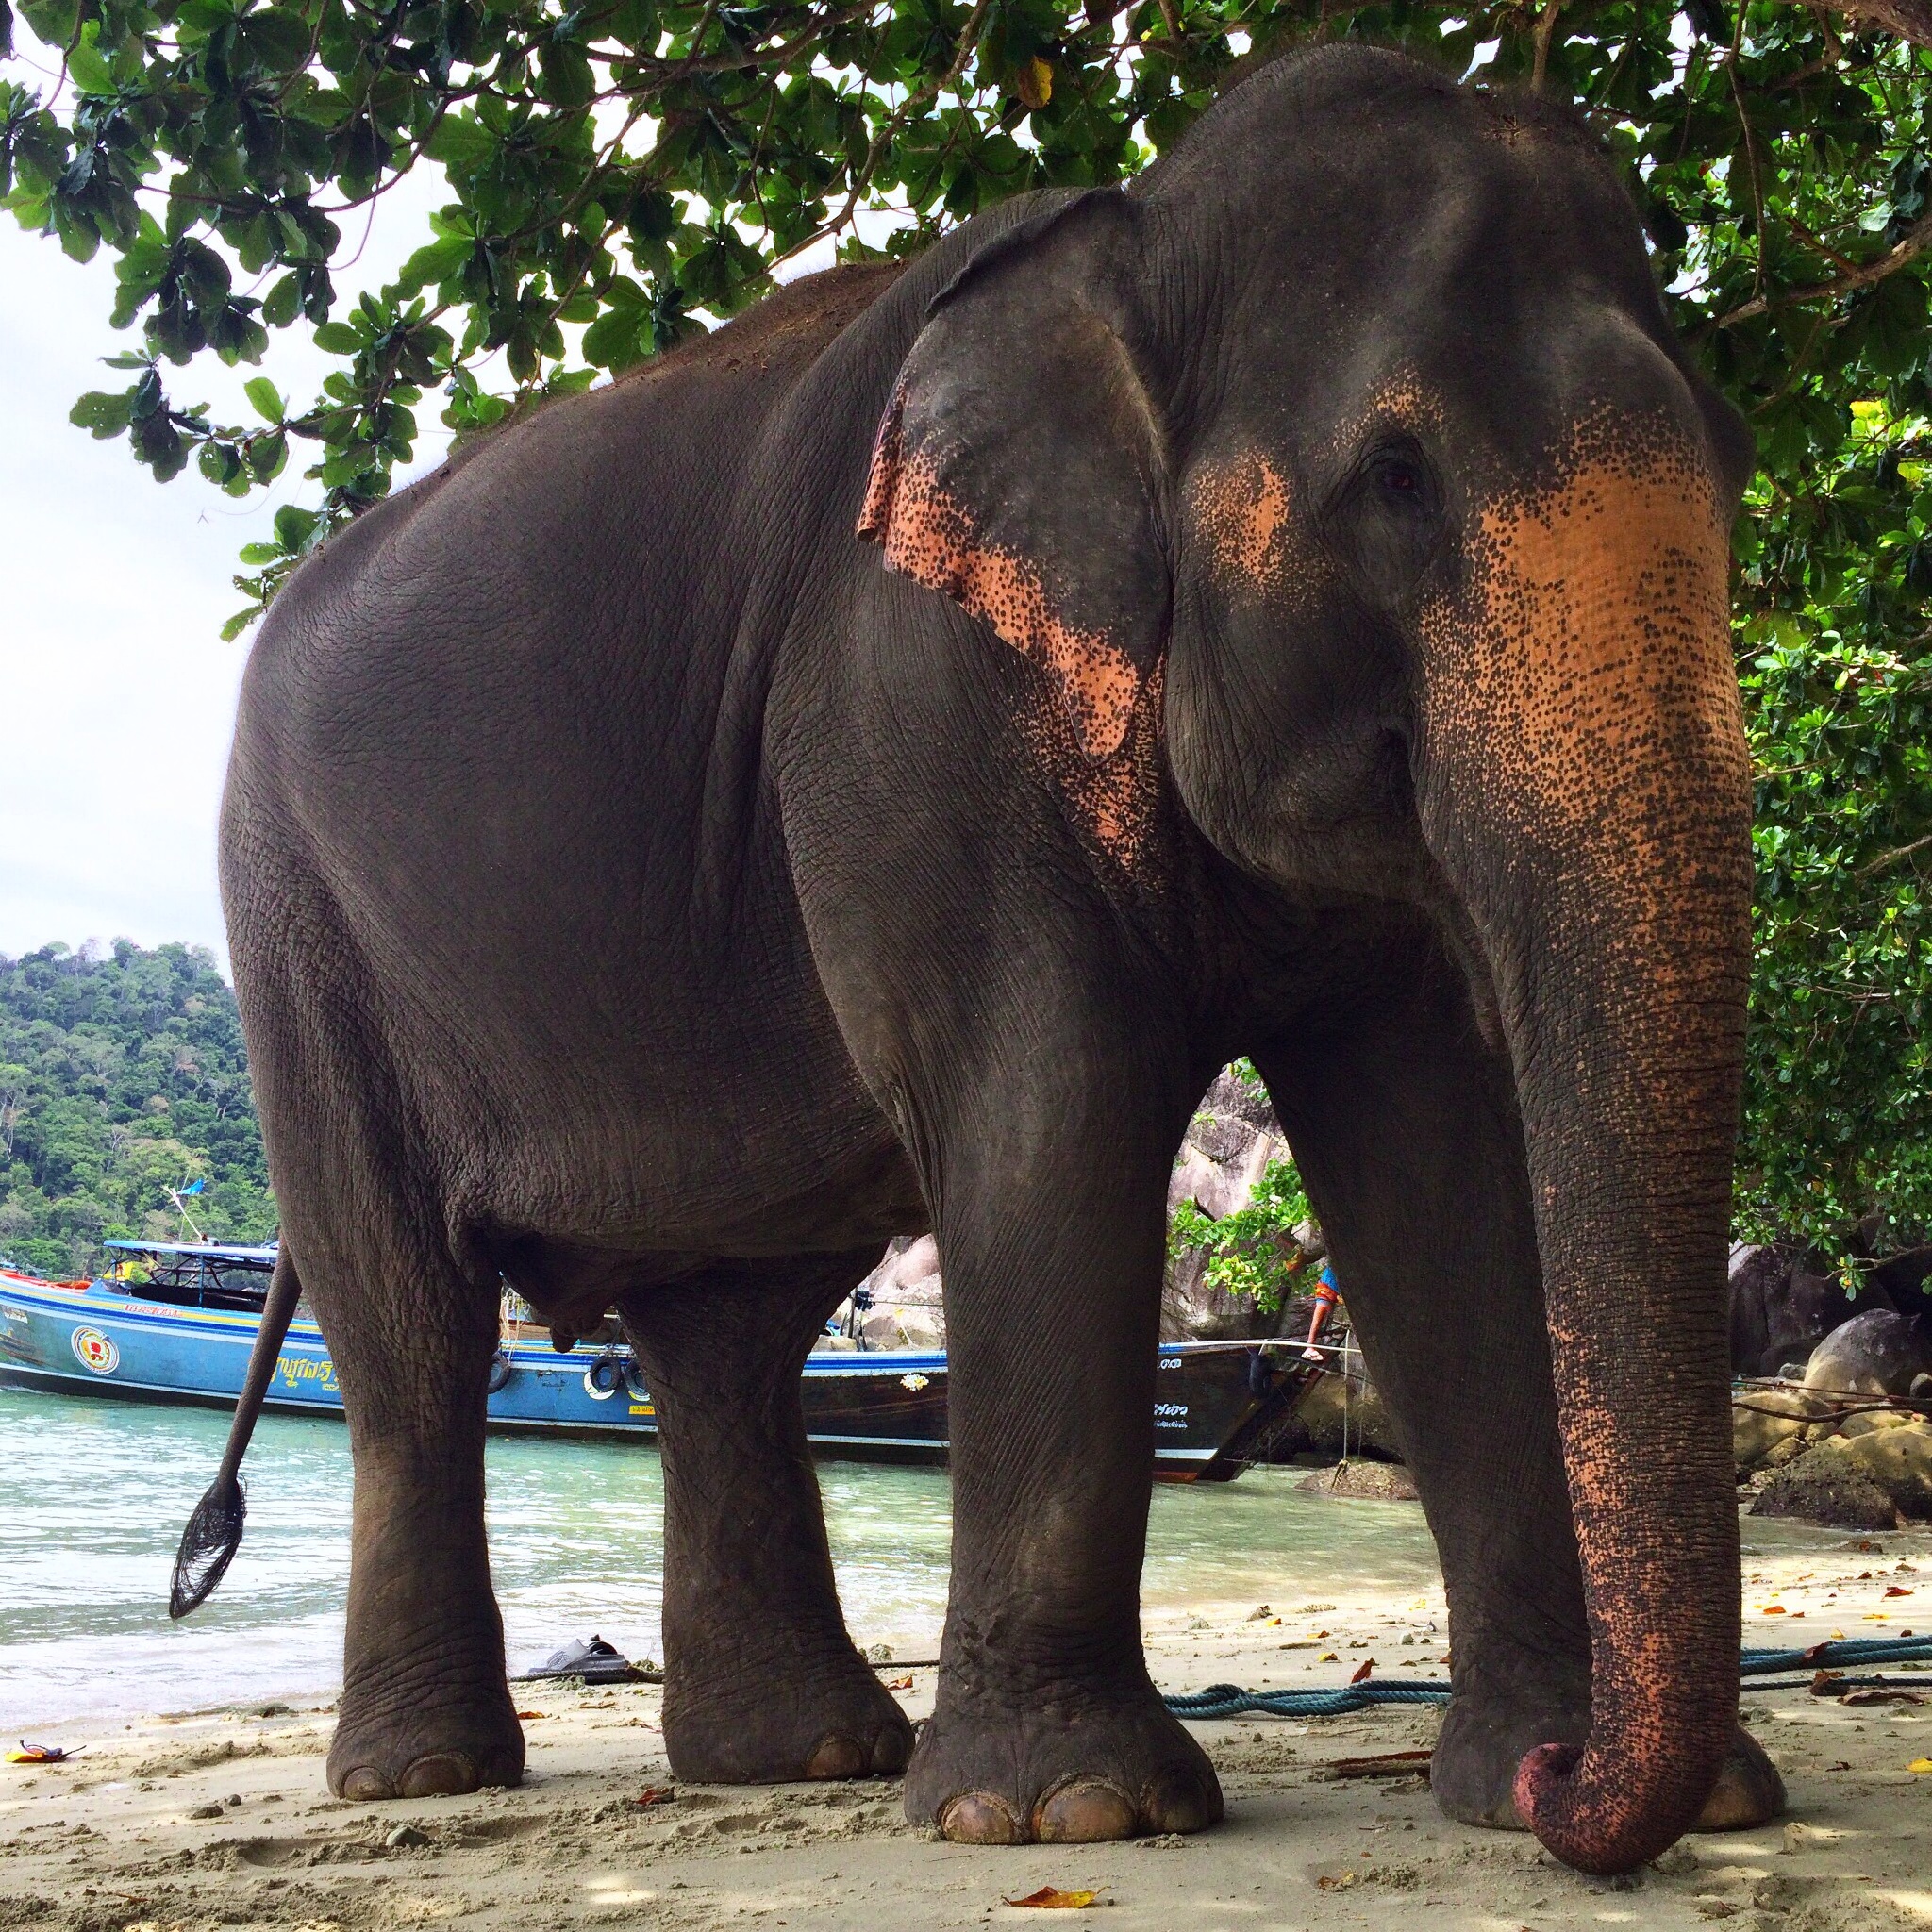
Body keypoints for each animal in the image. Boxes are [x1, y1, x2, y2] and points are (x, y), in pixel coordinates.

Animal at [184, 44, 1784, 1876]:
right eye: (1395, 476)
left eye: (1737, 456)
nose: (1569, 1788)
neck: (1139, 234)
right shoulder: (906, 694)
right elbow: (1050, 1110)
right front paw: (1065, 1812)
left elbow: (1431, 1166)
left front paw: (1582, 1777)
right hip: (295, 929)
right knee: (414, 1336)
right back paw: (425, 1776)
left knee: (723, 1336)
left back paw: (799, 1756)